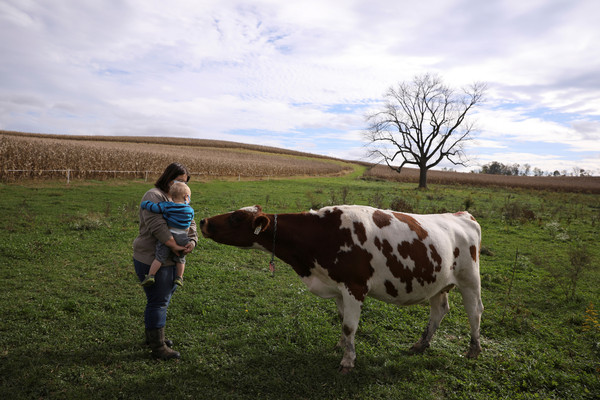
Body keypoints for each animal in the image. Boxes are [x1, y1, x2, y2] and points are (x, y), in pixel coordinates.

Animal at [199, 205, 486, 374]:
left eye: (236, 218)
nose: (203, 221)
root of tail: (462, 215)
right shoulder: (336, 287)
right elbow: (341, 321)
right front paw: (341, 346)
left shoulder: (354, 286)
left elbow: (350, 326)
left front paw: (348, 362)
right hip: (438, 283)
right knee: (439, 310)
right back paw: (421, 344)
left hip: (470, 279)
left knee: (475, 312)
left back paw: (473, 350)